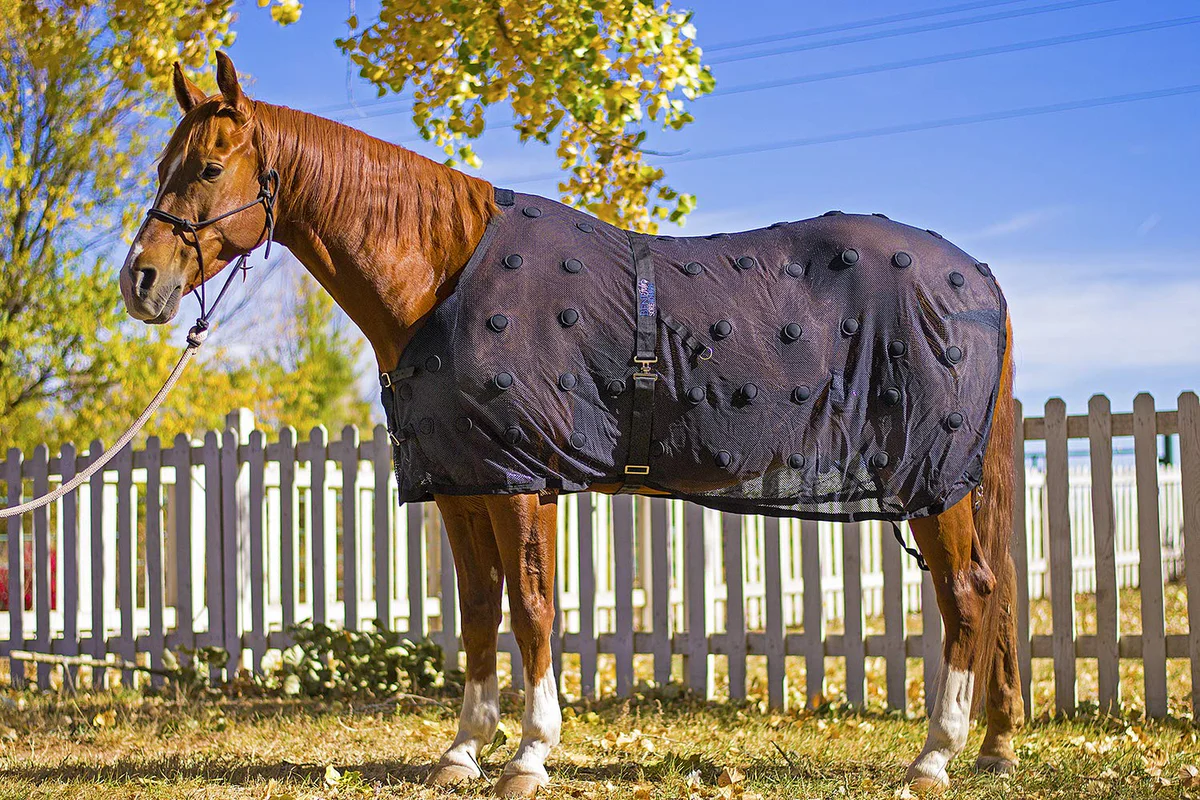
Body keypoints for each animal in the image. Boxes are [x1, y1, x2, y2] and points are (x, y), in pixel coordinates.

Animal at [119, 53, 1021, 797]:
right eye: (163, 165)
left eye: (208, 166)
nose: (141, 281)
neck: (445, 273)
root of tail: (976, 276)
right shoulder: (463, 480)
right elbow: (478, 609)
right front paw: (461, 752)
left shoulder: (524, 479)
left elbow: (532, 607)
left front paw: (529, 755)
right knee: (1000, 590)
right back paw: (994, 747)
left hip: (932, 477)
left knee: (967, 593)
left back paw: (934, 758)